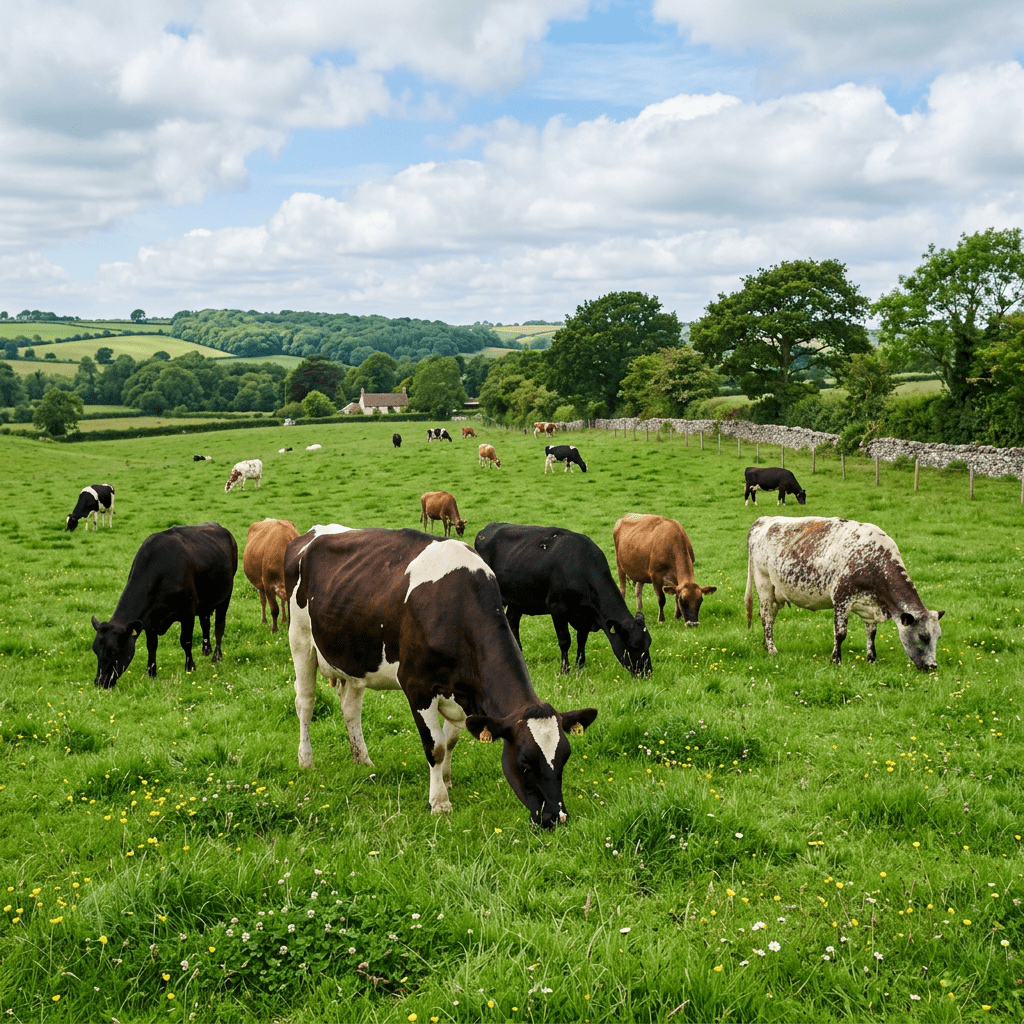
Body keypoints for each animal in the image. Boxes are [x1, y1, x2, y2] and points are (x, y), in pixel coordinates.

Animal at [91, 522, 237, 688]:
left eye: (115, 651)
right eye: (95, 650)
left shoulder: (187, 611)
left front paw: (190, 667)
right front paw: (151, 672)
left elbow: (186, 640)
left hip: (226, 595)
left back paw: (217, 656)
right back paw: (206, 649)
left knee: (219, 626)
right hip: (205, 601)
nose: (100, 682)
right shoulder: (149, 619)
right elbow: (151, 645)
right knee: (205, 623)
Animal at [284, 526, 597, 827]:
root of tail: (310, 534)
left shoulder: (462, 693)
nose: (556, 817)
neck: (456, 607)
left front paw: (446, 781)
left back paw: (362, 759)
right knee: (305, 702)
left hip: (355, 660)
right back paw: (306, 760)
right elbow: (434, 746)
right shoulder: (418, 686)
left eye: (564, 759)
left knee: (351, 708)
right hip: (300, 640)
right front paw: (439, 802)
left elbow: (450, 741)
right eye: (524, 764)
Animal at [474, 522, 652, 676]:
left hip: (517, 600)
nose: (647, 673)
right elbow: (565, 640)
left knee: (512, 622)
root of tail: (488, 528)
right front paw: (565, 670)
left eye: (648, 643)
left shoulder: (584, 616)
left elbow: (582, 640)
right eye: (632, 645)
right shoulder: (557, 609)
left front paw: (581, 666)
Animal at [745, 516, 944, 669]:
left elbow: (871, 633)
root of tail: (764, 520)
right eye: (923, 636)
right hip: (764, 584)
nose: (933, 666)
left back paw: (765, 645)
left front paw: (872, 659)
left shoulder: (869, 607)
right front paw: (836, 660)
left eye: (938, 637)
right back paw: (772, 649)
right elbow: (840, 633)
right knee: (767, 617)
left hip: (776, 593)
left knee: (769, 616)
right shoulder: (841, 597)